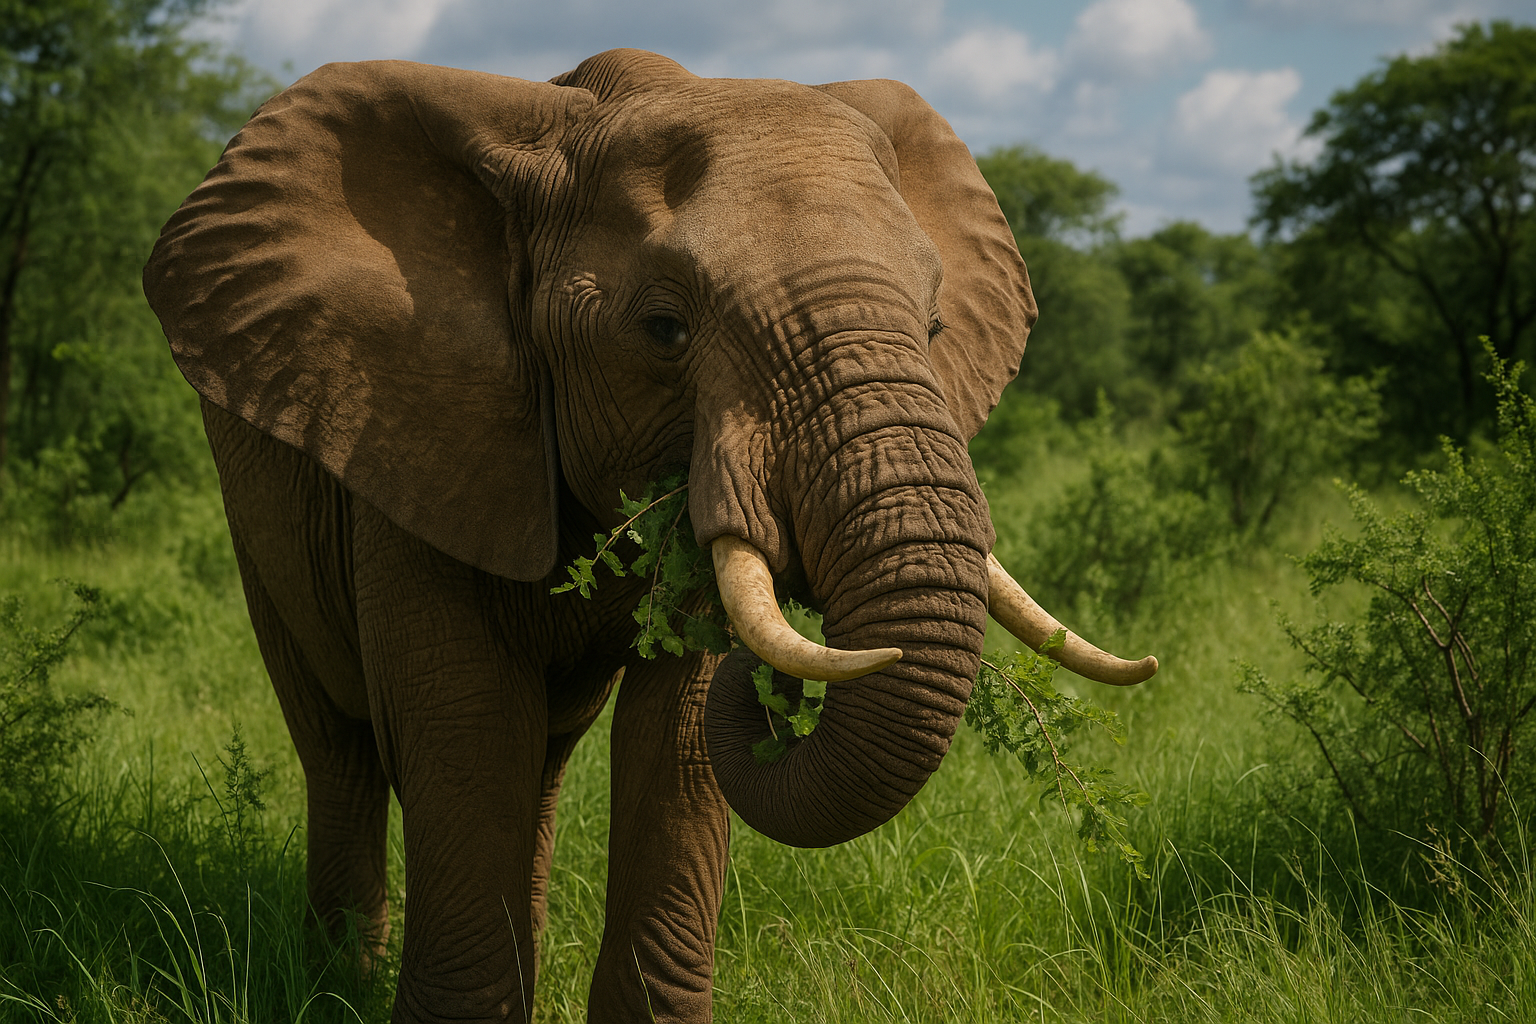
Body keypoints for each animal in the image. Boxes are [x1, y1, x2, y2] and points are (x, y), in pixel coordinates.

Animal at [143, 48, 1156, 1023]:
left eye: (936, 326)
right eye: (664, 331)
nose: (784, 680)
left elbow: (674, 737)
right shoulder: (407, 425)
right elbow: (463, 728)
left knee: (543, 760)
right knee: (338, 740)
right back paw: (338, 978)